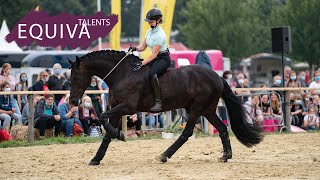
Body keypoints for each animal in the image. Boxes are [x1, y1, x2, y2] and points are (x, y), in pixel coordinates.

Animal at [69, 50, 262, 165]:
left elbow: (103, 119)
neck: (122, 74)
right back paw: (226, 155)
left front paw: (121, 135)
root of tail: (217, 77)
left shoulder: (127, 107)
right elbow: (107, 133)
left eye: (76, 77)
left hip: (197, 108)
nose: (72, 101)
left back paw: (164, 155)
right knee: (222, 128)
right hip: (207, 110)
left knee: (187, 133)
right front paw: (96, 158)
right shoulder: (117, 108)